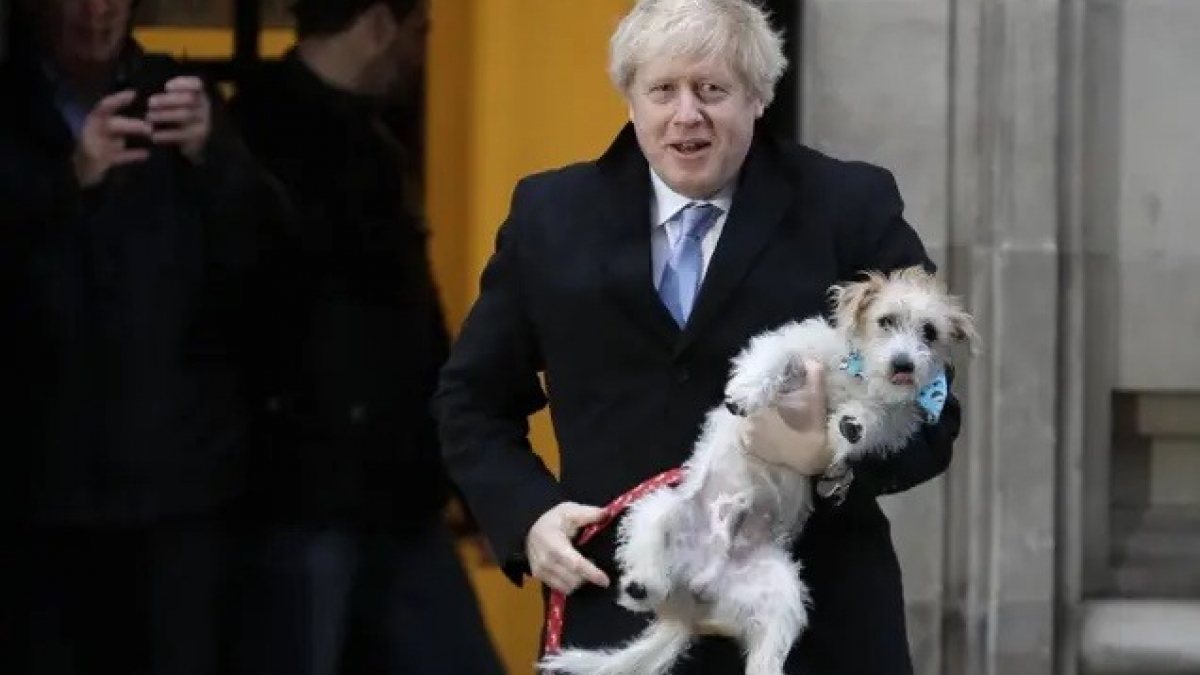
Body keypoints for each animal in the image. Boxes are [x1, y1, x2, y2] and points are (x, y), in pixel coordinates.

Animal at [540, 264, 979, 672]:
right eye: (886, 320)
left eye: (929, 332)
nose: (904, 365)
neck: (859, 374)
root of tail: (696, 594)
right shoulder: (799, 345)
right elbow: (775, 356)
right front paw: (749, 392)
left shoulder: (899, 417)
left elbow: (877, 419)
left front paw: (851, 428)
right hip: (659, 506)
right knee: (647, 551)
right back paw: (639, 583)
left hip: (781, 592)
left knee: (765, 656)